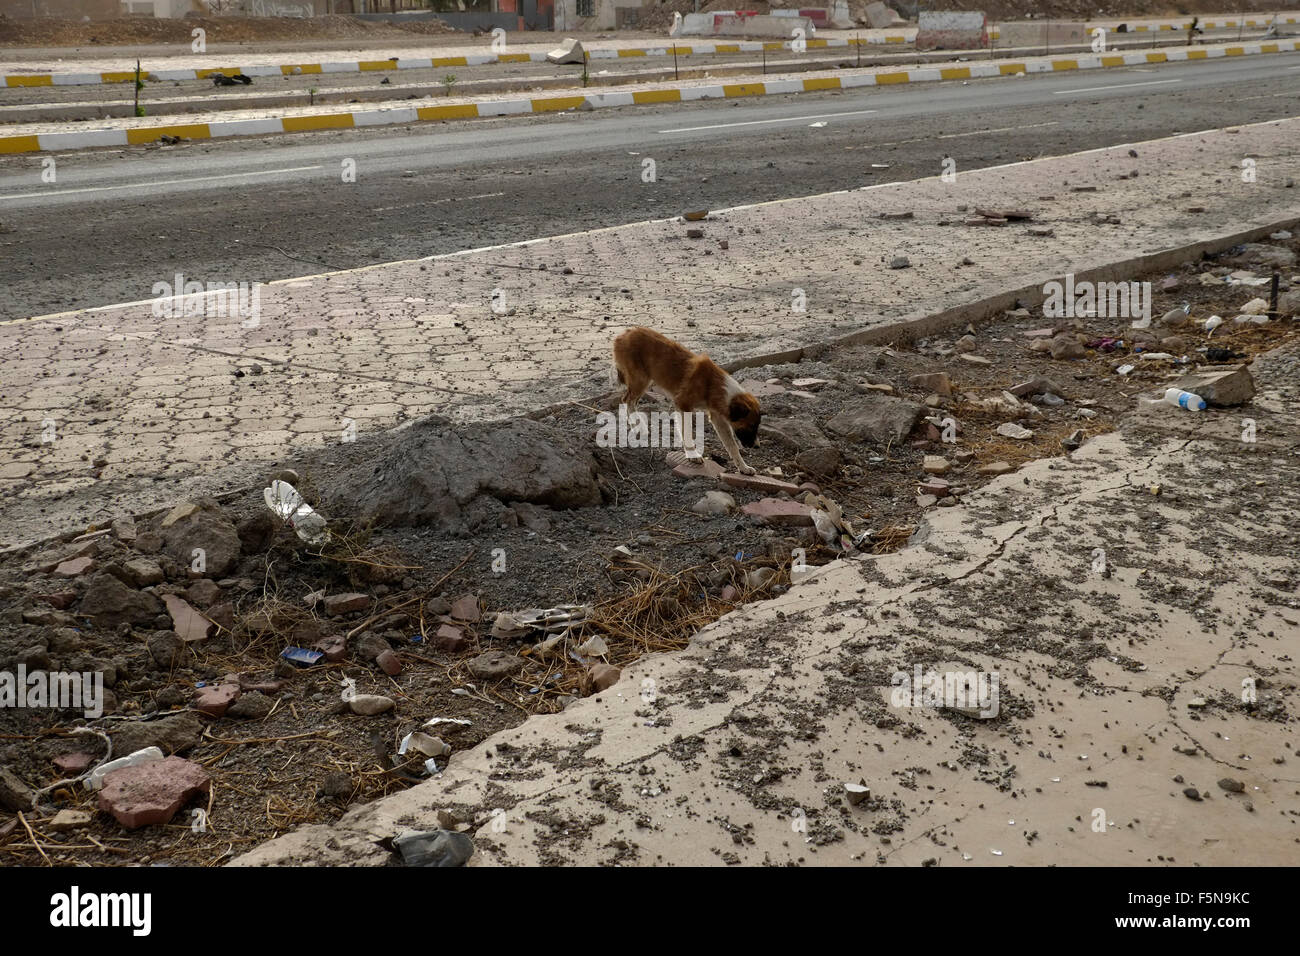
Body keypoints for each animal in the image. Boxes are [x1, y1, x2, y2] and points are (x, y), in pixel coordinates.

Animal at [616, 327, 764, 476]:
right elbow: (687, 432)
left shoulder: (717, 418)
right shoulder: (683, 405)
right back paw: (636, 425)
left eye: (757, 425)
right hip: (640, 380)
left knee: (630, 401)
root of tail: (626, 332)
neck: (713, 385)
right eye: (751, 425)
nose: (757, 446)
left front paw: (743, 467)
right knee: (626, 400)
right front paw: (693, 455)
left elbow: (732, 446)